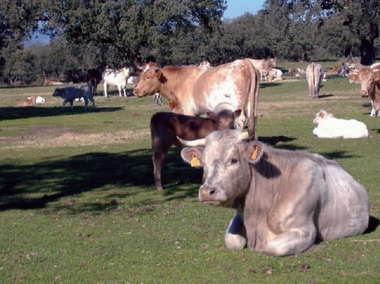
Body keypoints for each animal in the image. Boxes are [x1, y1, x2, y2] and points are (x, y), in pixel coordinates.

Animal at [132, 59, 260, 141]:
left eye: (148, 77)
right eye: (141, 75)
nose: (135, 91)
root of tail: (245, 62)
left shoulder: (189, 110)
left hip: (238, 104)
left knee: (241, 121)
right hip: (252, 104)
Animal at [180, 130, 370, 256]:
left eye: (234, 160)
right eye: (203, 164)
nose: (207, 191)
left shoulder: (304, 230)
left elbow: (272, 247)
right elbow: (232, 241)